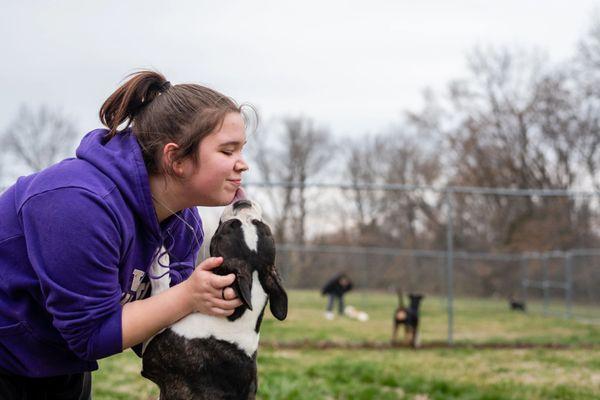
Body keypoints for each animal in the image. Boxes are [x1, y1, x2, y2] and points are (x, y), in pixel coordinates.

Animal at [143, 198, 288, 398]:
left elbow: (162, 287)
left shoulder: (152, 347)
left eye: (229, 227)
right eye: (261, 224)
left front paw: (160, 253)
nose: (243, 202)